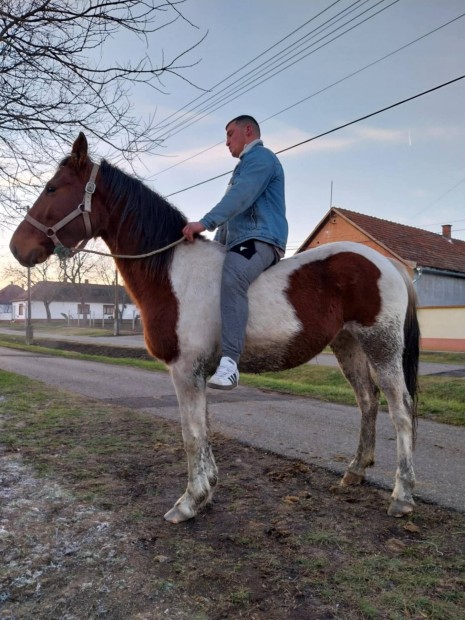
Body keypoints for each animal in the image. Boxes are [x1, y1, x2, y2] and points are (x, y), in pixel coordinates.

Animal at [9, 134, 418, 524]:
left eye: (53, 188)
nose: (16, 248)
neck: (171, 271)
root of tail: (388, 264)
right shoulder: (196, 373)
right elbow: (203, 430)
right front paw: (207, 490)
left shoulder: (185, 370)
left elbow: (191, 435)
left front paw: (189, 502)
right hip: (348, 344)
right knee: (367, 402)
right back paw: (355, 471)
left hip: (382, 346)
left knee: (401, 410)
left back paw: (402, 497)